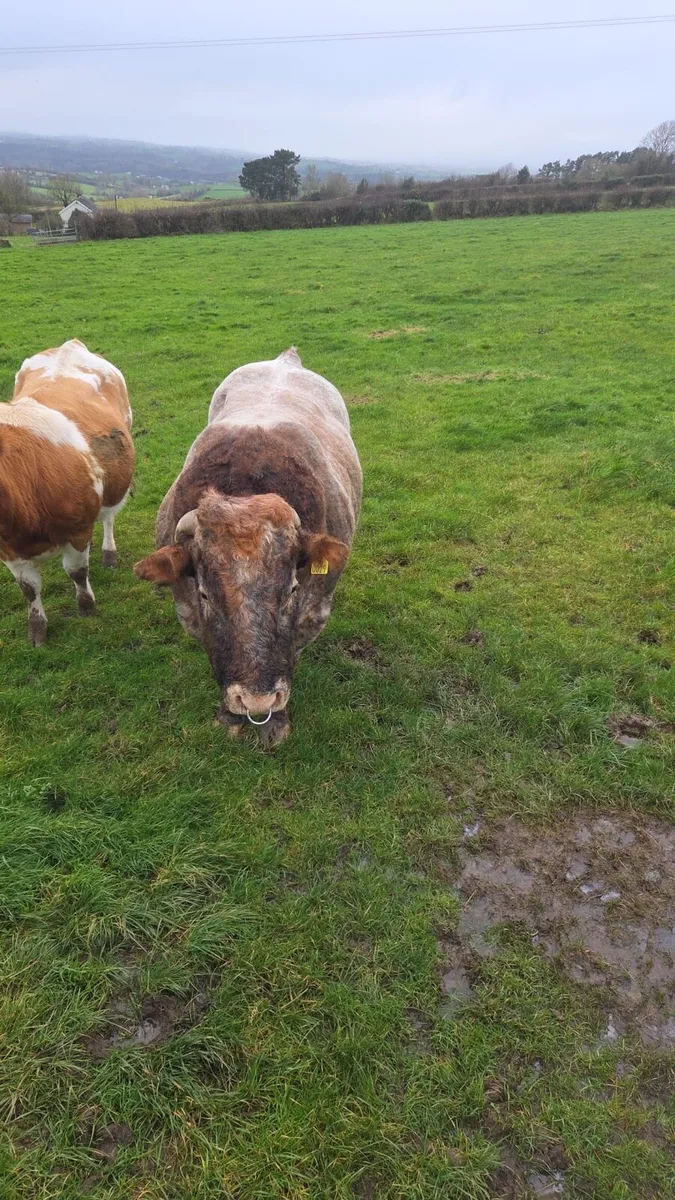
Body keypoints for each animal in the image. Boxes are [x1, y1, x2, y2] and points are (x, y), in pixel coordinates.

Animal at [0, 339, 134, 645]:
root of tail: (68, 345)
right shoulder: (9, 549)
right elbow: (29, 588)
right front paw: (37, 629)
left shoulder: (78, 529)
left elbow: (76, 571)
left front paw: (87, 608)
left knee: (109, 517)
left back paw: (109, 553)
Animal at [134, 348, 362, 746]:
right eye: (205, 594)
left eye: (292, 590)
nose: (257, 701)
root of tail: (286, 359)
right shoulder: (187, 610)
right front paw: (230, 715)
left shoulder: (314, 610)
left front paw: (277, 719)